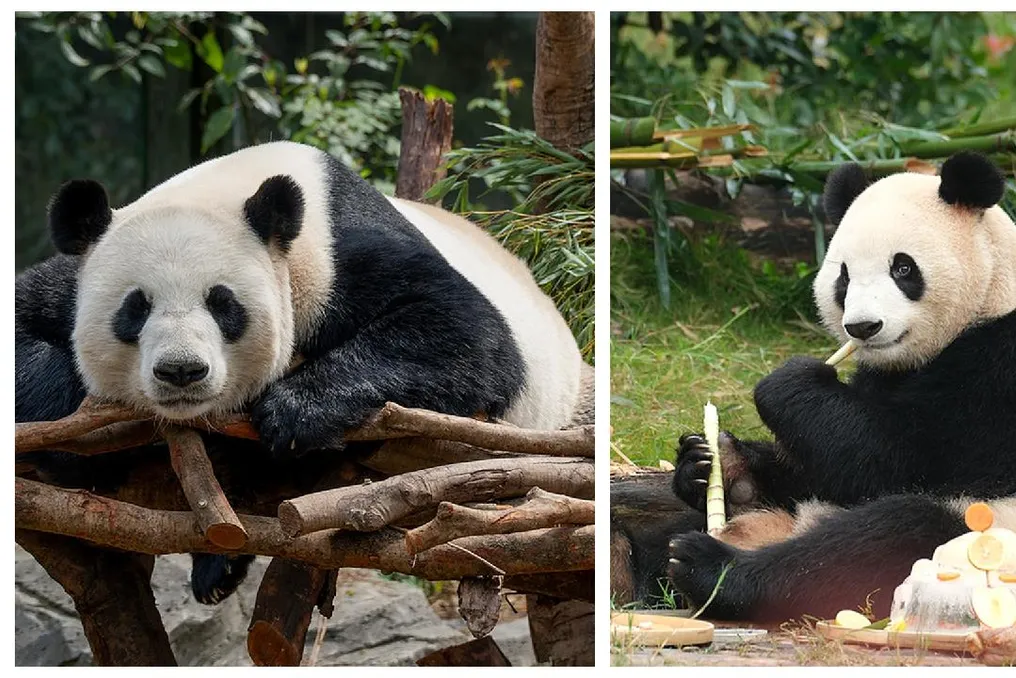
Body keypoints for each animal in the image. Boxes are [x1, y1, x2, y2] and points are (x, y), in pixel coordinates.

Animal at [16, 140, 592, 604]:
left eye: (223, 303)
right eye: (136, 307)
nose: (182, 371)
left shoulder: (335, 256)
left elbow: (467, 331)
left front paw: (293, 412)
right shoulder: (73, 278)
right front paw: (77, 426)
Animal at [615, 151, 1016, 622]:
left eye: (903, 267)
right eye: (844, 277)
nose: (862, 327)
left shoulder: (998, 368)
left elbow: (900, 457)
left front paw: (788, 383)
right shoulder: (879, 377)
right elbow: (823, 464)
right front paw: (708, 461)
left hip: (983, 528)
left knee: (882, 537)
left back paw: (710, 570)